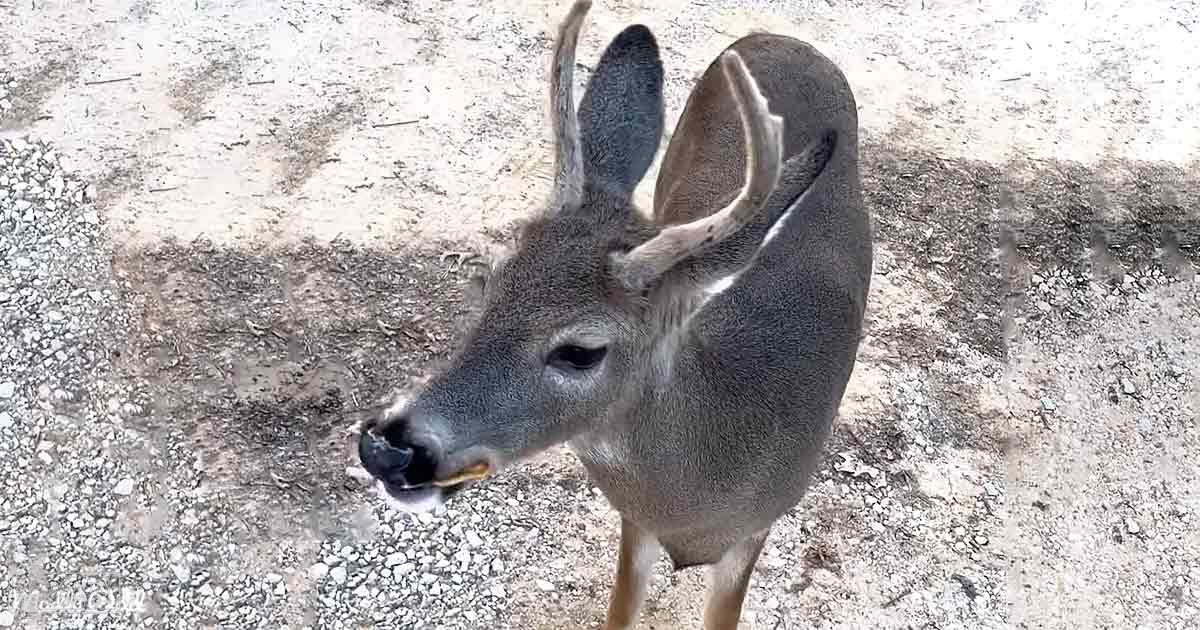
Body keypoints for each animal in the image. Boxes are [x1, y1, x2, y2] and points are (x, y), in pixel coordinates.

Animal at [355, 0, 871, 627]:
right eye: (486, 284)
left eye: (581, 351)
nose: (386, 449)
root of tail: (779, 36)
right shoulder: (636, 524)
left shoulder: (753, 534)